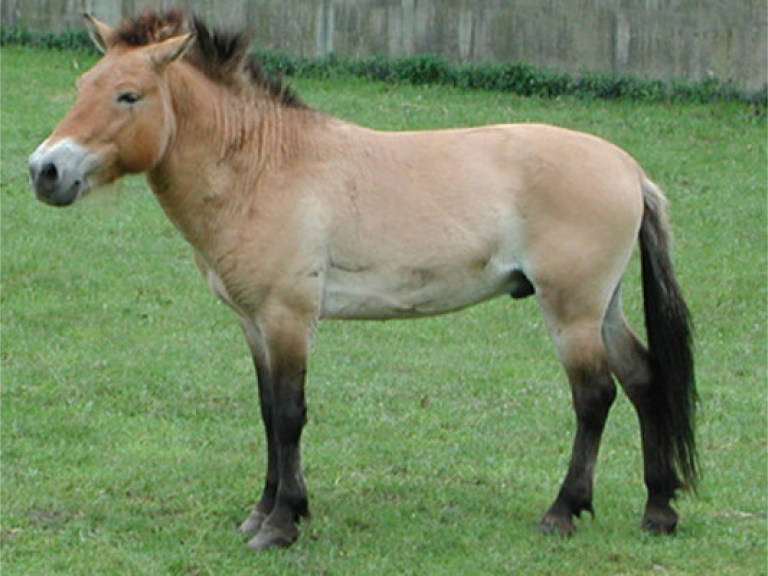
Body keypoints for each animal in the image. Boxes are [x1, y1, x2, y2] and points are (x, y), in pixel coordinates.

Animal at [28, 7, 696, 548]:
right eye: (83, 85)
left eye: (129, 96)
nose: (45, 170)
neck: (263, 166)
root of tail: (628, 169)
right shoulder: (254, 323)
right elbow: (267, 412)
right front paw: (262, 511)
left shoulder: (289, 317)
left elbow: (289, 414)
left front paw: (282, 524)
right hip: (602, 307)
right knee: (643, 378)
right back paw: (659, 510)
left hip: (571, 310)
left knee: (595, 396)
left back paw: (563, 512)